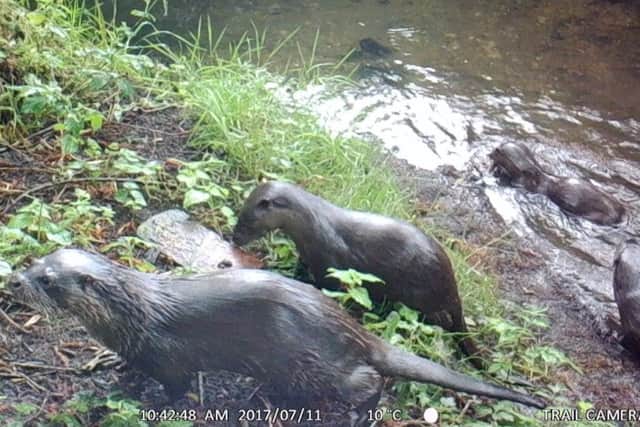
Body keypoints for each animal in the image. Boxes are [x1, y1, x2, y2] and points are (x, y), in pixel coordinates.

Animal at [9, 249, 545, 426]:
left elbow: (176, 387)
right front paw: (115, 368)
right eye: (38, 262)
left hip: (317, 364)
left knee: (369, 382)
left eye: (48, 280)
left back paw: (359, 413)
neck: (135, 314)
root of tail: (356, 332)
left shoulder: (169, 354)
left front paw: (152, 403)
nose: (15, 280)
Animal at [232, 181, 483, 367]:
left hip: (420, 295)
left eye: (247, 222)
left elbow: (328, 286)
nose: (234, 238)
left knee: (441, 320)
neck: (313, 227)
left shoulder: (330, 264)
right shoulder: (307, 255)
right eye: (239, 216)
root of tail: (451, 283)